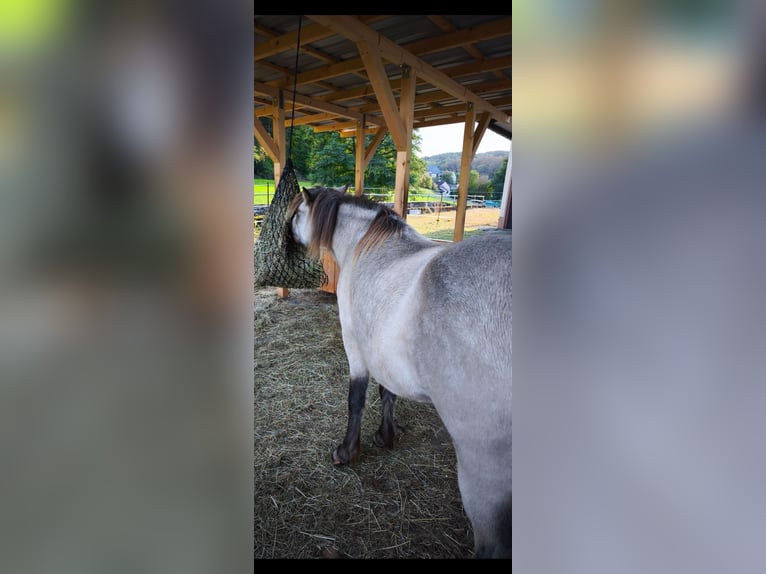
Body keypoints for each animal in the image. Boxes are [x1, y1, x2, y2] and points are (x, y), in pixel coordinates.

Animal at [287, 186, 512, 559]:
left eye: (295, 214)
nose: (287, 238)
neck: (365, 246)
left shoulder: (356, 347)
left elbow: (357, 399)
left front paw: (347, 451)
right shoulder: (385, 354)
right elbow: (387, 393)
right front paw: (386, 435)